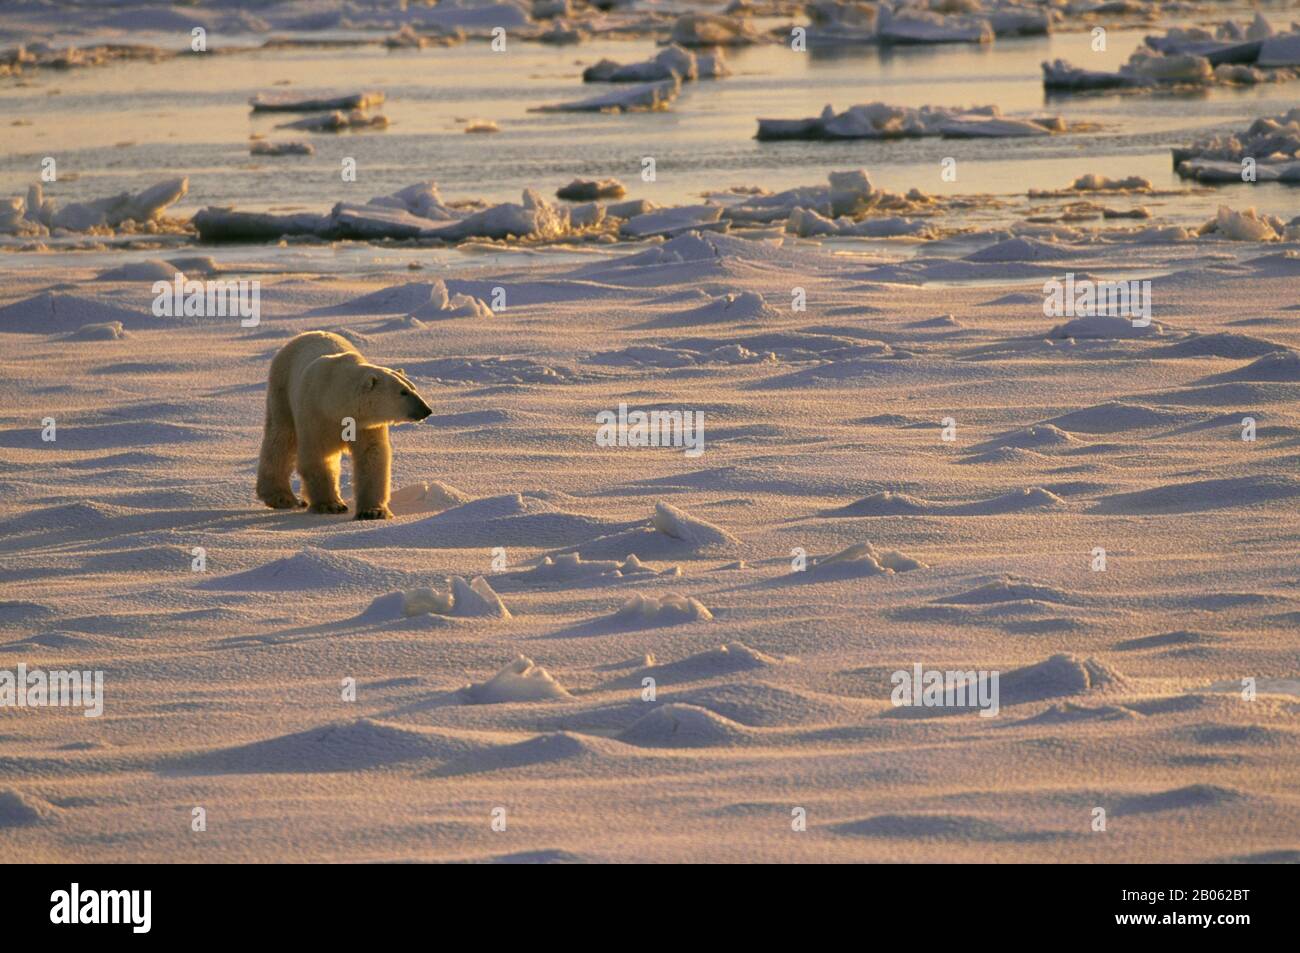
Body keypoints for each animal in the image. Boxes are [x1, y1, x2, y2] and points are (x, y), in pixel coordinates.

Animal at [256, 331, 433, 520]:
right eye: (403, 392)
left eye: (413, 387)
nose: (426, 410)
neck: (334, 401)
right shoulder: (316, 414)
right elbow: (318, 456)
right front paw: (331, 505)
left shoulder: (365, 425)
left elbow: (372, 456)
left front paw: (373, 511)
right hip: (281, 389)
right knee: (280, 438)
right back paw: (281, 497)